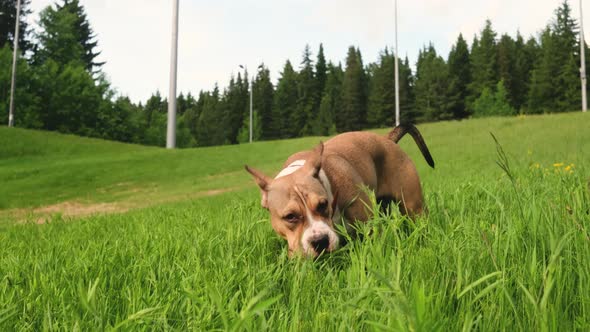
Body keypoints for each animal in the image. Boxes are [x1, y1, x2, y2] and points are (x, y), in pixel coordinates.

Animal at [245, 124, 434, 256]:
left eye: (322, 204)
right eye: (290, 216)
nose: (320, 241)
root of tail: (386, 138)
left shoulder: (370, 228)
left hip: (414, 207)